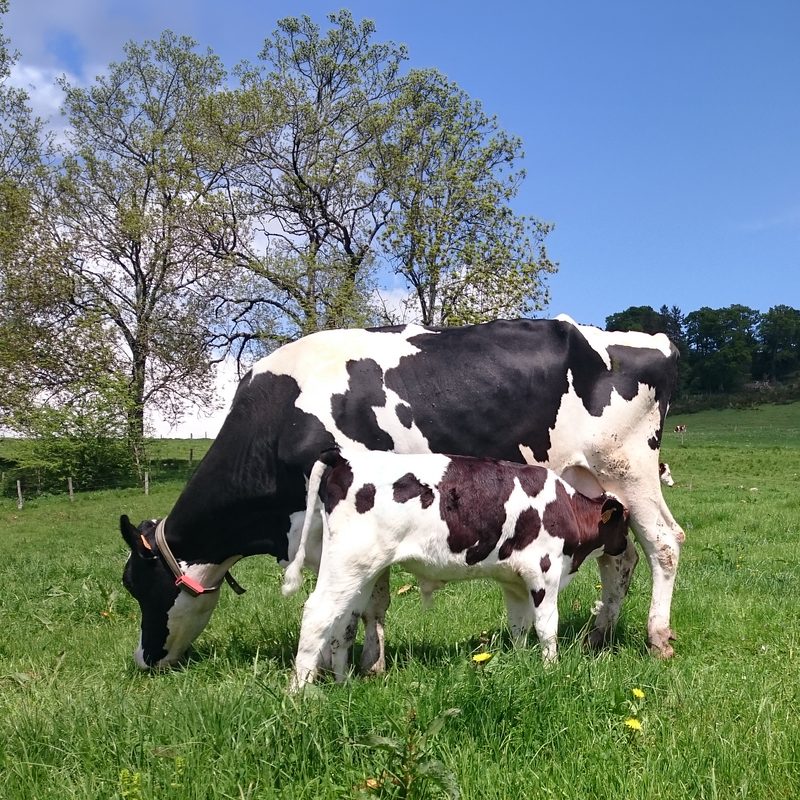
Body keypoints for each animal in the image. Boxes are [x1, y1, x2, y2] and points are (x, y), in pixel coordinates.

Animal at [283, 450, 630, 688]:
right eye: (624, 523)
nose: (627, 546)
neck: (566, 508)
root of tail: (344, 458)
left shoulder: (514, 581)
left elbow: (518, 626)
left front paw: (520, 663)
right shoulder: (544, 572)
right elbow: (547, 628)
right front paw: (551, 669)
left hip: (360, 570)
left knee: (344, 621)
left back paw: (343, 683)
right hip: (348, 561)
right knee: (316, 613)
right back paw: (300, 693)